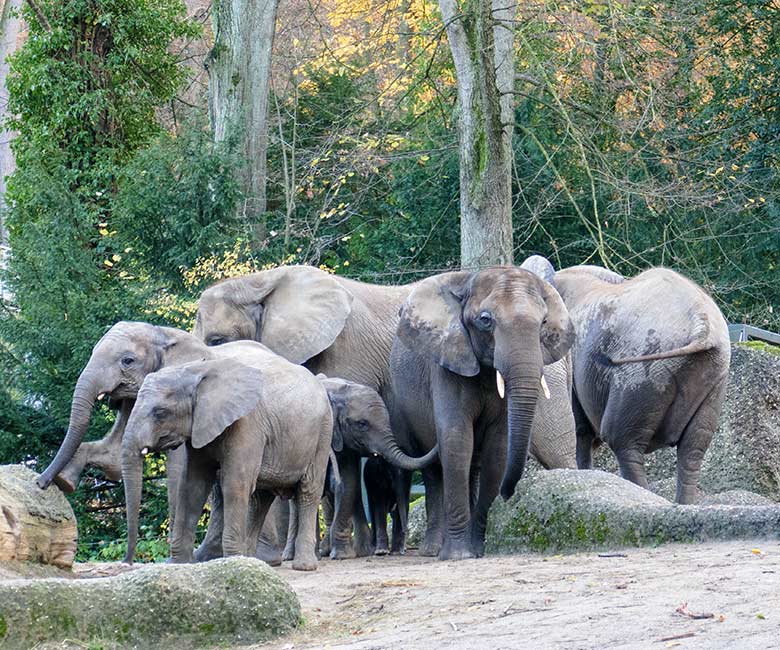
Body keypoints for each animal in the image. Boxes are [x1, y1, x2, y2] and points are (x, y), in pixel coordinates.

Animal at [121, 352, 332, 568]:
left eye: (160, 412)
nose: (127, 562)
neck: (196, 370)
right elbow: (191, 486)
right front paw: (178, 564)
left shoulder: (247, 423)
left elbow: (234, 484)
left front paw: (232, 563)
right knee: (261, 497)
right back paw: (253, 561)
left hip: (323, 432)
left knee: (307, 491)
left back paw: (303, 566)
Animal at [390, 266, 572, 560]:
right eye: (485, 320)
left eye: (544, 321)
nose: (508, 494)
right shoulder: (448, 362)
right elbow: (456, 439)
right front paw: (458, 555)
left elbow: (497, 448)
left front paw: (478, 549)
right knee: (433, 471)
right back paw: (433, 550)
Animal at [524, 256, 732, 504]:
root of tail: (702, 324)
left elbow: (580, 429)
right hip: (713, 376)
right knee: (693, 448)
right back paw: (683, 504)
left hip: (643, 370)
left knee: (622, 440)